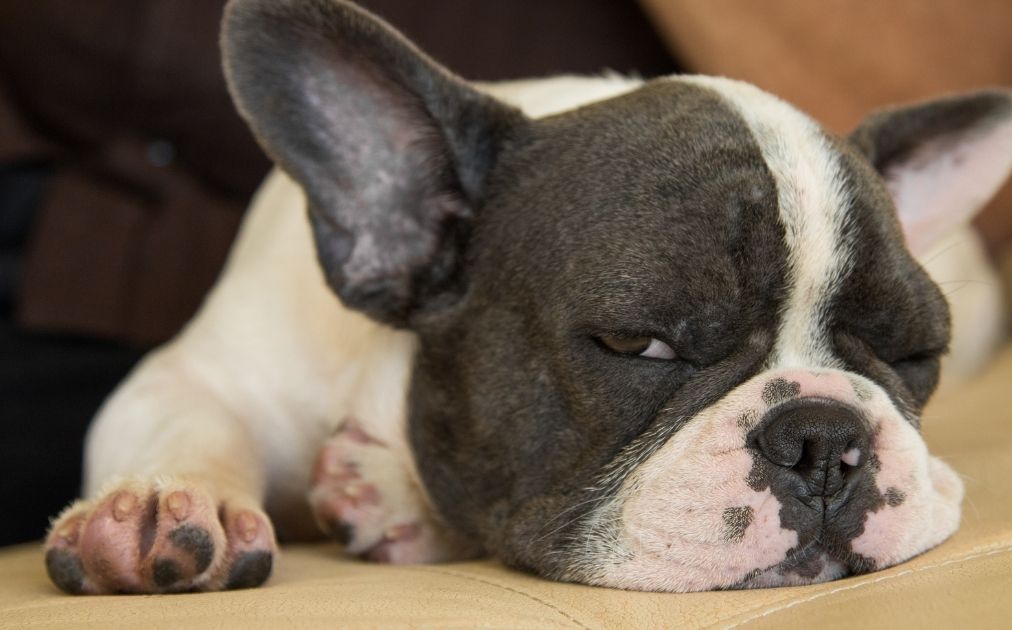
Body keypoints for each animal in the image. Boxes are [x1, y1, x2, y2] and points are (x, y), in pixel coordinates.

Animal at [45, 0, 1011, 594]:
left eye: (917, 353)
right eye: (637, 343)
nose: (824, 439)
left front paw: (389, 497)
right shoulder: (208, 371)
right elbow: (186, 418)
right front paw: (170, 502)